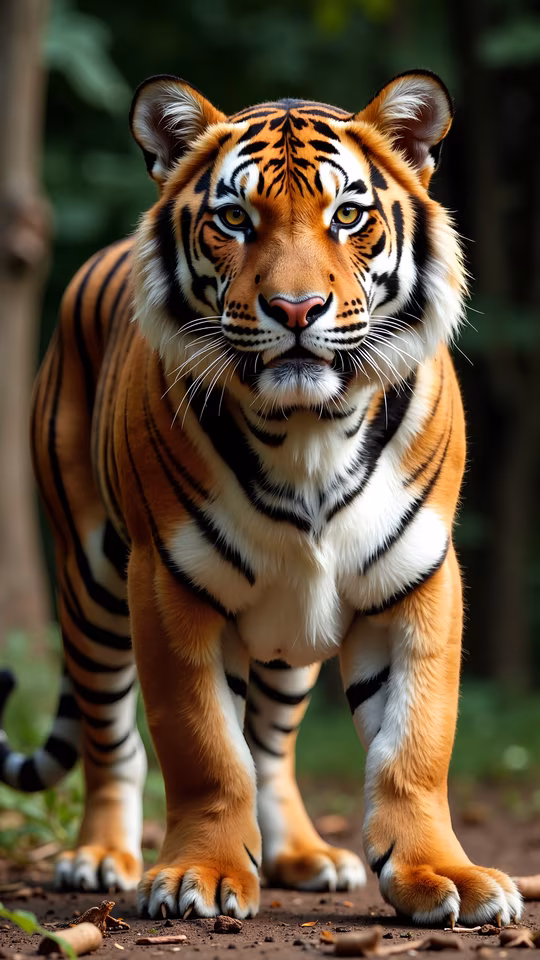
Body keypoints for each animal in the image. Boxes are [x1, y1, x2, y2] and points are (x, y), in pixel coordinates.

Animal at [0, 69, 522, 927]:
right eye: (234, 220)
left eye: (348, 215)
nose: (296, 309)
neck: (310, 427)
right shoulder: (168, 585)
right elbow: (204, 745)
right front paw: (201, 874)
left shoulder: (418, 580)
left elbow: (414, 743)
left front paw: (442, 875)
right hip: (92, 583)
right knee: (113, 737)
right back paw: (100, 858)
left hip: (288, 628)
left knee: (272, 746)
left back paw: (303, 857)